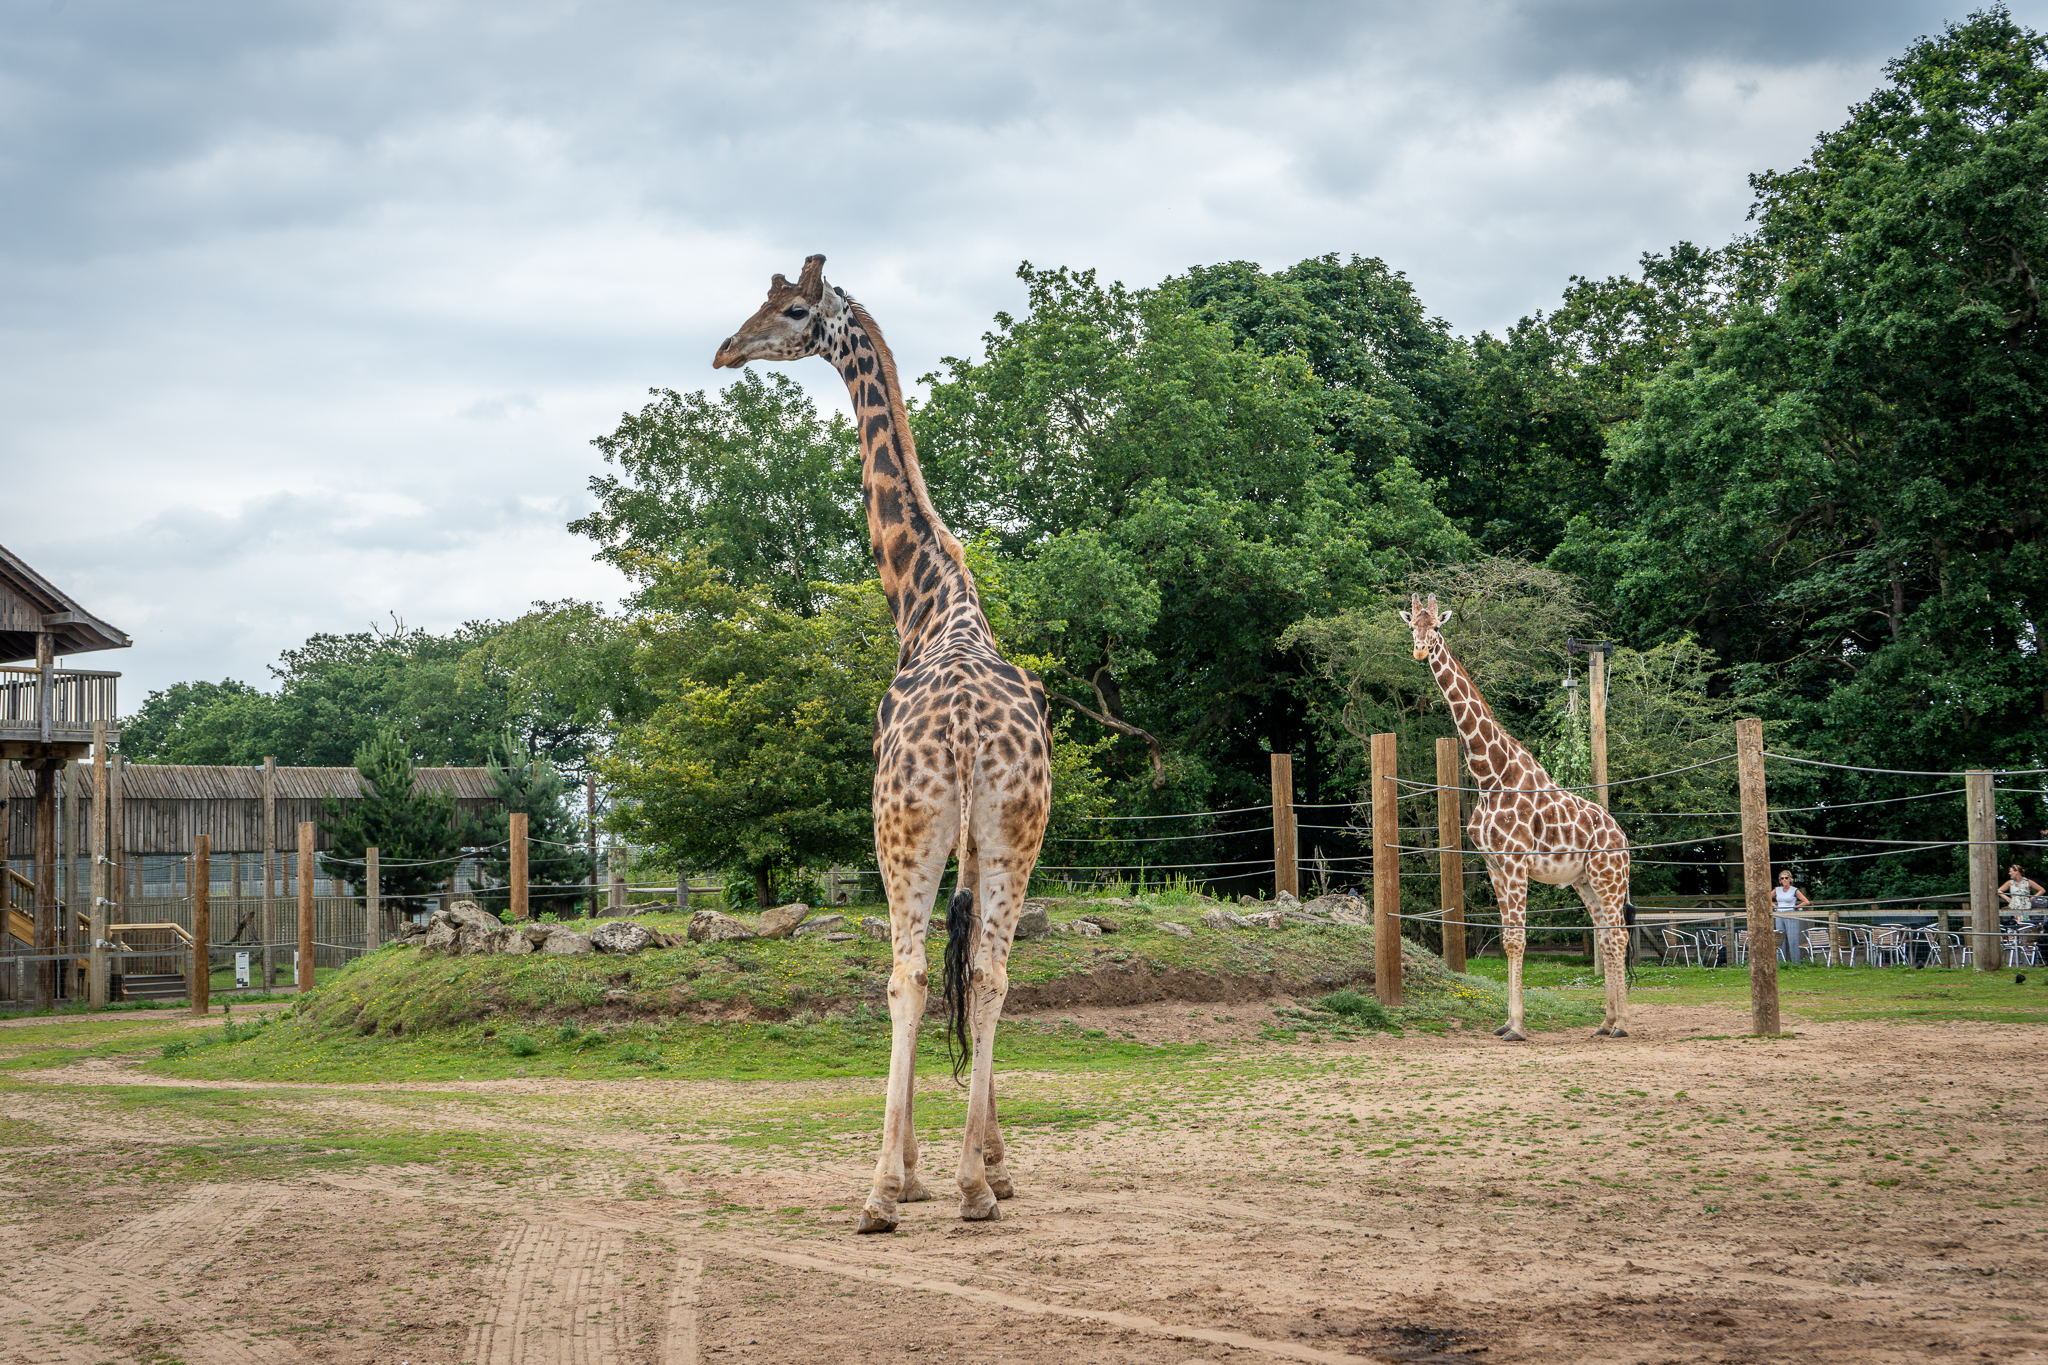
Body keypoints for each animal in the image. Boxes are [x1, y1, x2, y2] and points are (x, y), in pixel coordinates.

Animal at [714, 255, 1052, 1233]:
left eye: (793, 310)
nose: (726, 349)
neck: (929, 599)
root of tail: (969, 736)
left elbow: (916, 976)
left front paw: (911, 1173)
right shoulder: (981, 842)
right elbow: (976, 970)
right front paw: (993, 1164)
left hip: (901, 827)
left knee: (904, 975)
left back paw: (878, 1191)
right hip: (1017, 827)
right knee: (991, 972)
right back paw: (976, 1187)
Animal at [1401, 594, 1635, 1041]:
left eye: (1436, 627)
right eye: (1411, 627)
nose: (1421, 651)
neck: (1489, 775)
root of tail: (1623, 838)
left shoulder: (1514, 862)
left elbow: (1518, 939)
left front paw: (1518, 1027)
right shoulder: (1494, 864)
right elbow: (1508, 938)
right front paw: (1508, 1022)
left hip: (1609, 877)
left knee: (1618, 935)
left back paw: (1621, 1025)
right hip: (1585, 881)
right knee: (1604, 935)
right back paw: (1606, 1021)